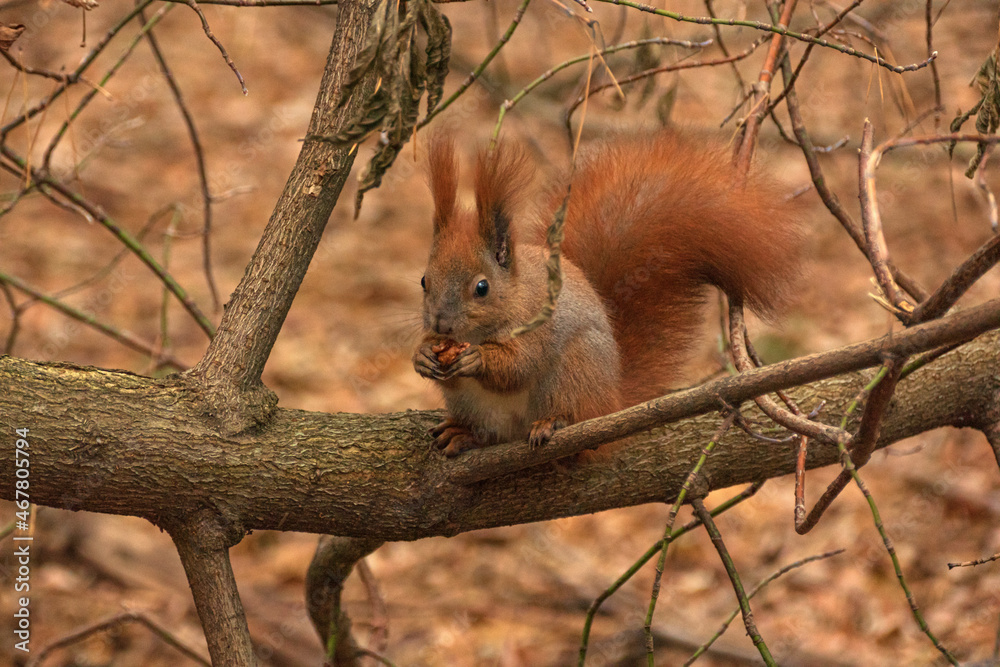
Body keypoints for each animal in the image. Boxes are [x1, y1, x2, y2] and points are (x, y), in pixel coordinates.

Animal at [412, 132, 805, 456]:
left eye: (482, 288)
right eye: (424, 281)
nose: (442, 324)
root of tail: (611, 400)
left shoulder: (539, 326)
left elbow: (520, 364)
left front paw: (477, 358)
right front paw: (423, 355)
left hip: (574, 370)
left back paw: (553, 423)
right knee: (490, 433)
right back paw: (464, 434)